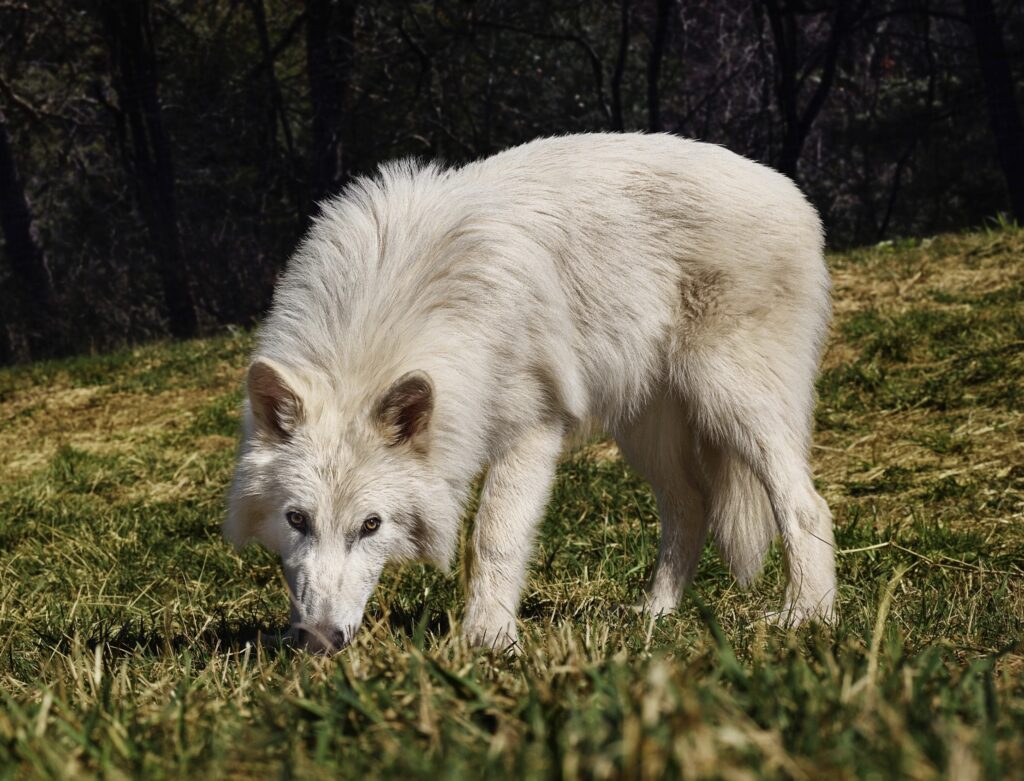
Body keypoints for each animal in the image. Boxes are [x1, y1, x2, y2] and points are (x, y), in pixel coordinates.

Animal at [225, 133, 835, 653]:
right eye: (296, 520)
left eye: (371, 525)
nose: (318, 642)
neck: (390, 311)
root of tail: (790, 191)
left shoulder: (532, 430)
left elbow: (494, 537)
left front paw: (489, 640)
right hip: (646, 432)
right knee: (691, 507)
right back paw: (656, 614)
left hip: (733, 403)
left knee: (805, 504)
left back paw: (807, 616)